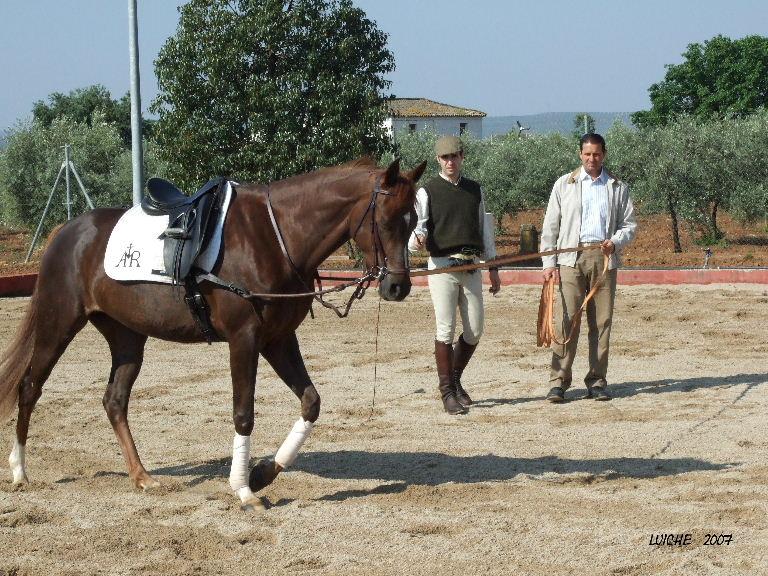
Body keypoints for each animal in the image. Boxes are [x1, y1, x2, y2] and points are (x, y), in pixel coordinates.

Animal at [0, 157, 427, 508]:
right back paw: (20, 471)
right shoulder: (245, 339)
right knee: (30, 388)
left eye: (413, 220)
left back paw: (142, 477)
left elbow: (311, 402)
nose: (398, 287)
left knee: (114, 401)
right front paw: (243, 489)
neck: (275, 237)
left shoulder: (278, 339)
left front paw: (264, 472)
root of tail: (67, 231)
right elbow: (244, 413)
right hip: (58, 324)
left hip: (127, 337)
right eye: (386, 220)